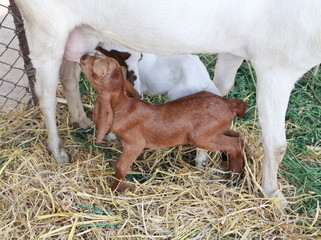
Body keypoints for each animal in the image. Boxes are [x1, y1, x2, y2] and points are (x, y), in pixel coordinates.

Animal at [15, 0, 320, 206]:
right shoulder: (277, 65)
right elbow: (276, 144)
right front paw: (274, 195)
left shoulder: (234, 50)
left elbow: (218, 91)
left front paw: (204, 155)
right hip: (46, 28)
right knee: (45, 94)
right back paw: (58, 151)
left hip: (79, 33)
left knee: (69, 75)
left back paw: (82, 120)